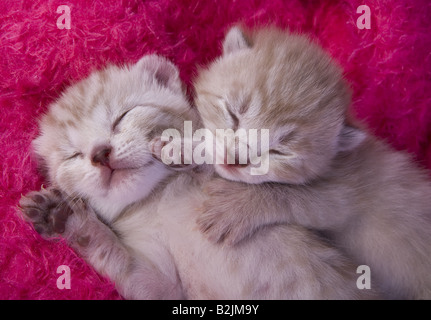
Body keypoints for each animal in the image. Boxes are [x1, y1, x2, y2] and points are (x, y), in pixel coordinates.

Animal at [194, 26, 431, 298]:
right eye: (233, 114)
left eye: (278, 152)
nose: (235, 161)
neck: (339, 160)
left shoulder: (344, 195)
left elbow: (297, 197)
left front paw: (238, 206)